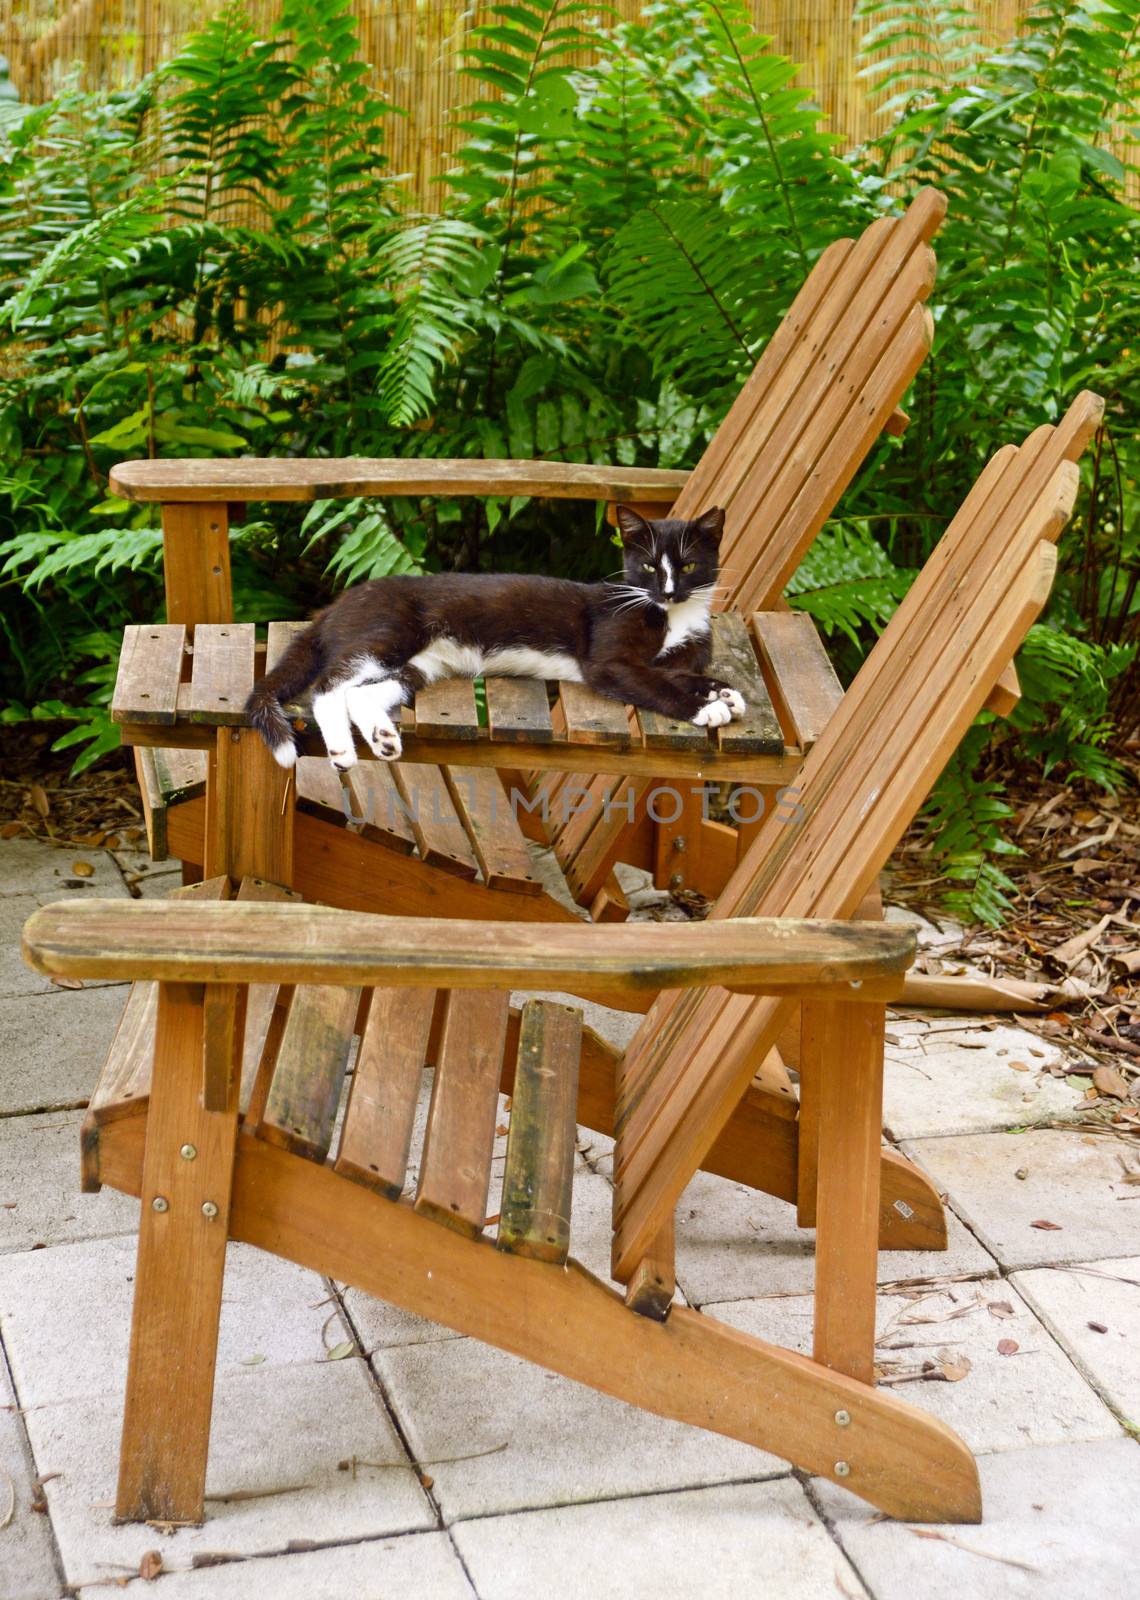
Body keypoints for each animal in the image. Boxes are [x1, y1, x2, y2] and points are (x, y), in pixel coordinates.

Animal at [244, 502, 742, 771]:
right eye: (649, 566)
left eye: (689, 565)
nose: (669, 590)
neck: (673, 615)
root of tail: (336, 605)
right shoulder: (608, 658)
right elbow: (650, 681)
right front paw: (706, 708)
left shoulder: (679, 654)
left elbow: (679, 673)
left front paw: (724, 692)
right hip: (388, 631)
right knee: (329, 688)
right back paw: (343, 752)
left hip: (420, 664)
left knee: (362, 693)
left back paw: (383, 738)